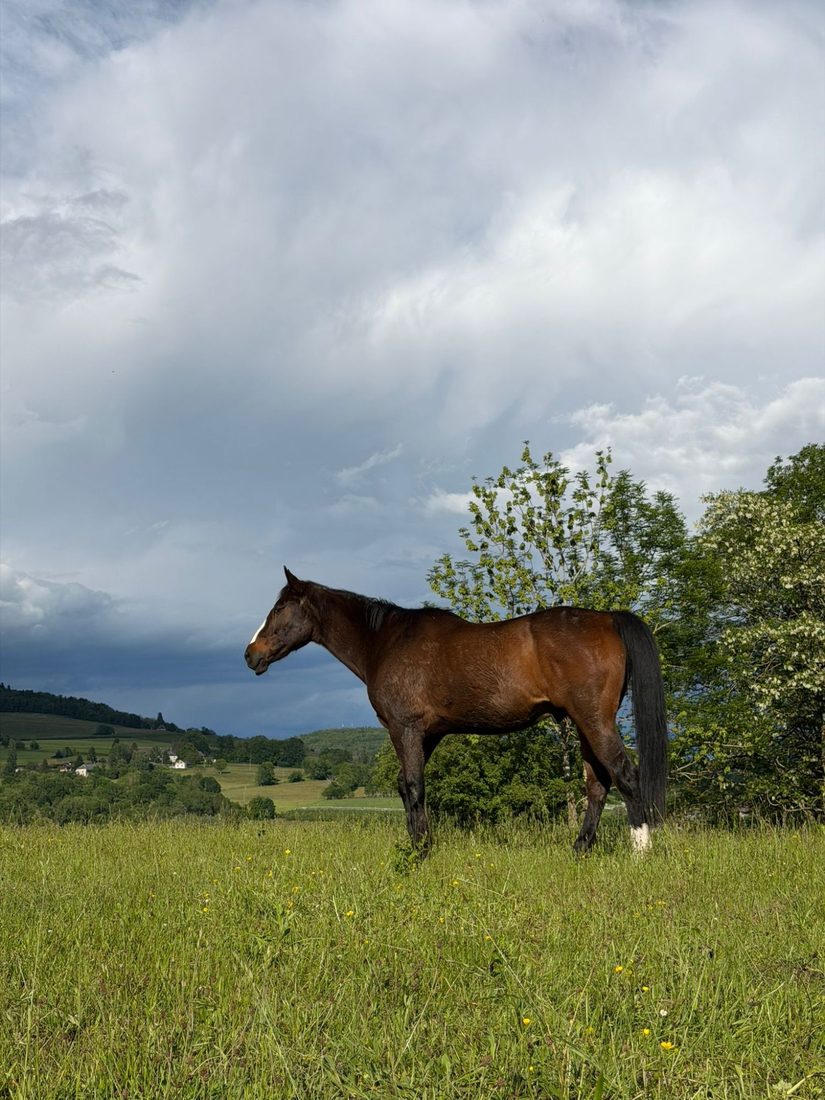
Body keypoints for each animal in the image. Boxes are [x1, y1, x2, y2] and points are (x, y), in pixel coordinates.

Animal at [245, 568, 668, 855]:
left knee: (626, 775)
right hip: (584, 725)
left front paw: (419, 853)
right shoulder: (428, 734)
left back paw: (640, 851)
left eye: (280, 608)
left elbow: (414, 786)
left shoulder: (405, 729)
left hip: (594, 720)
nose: (251, 654)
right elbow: (405, 787)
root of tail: (607, 617)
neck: (386, 641)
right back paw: (579, 850)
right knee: (597, 784)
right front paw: (418, 844)